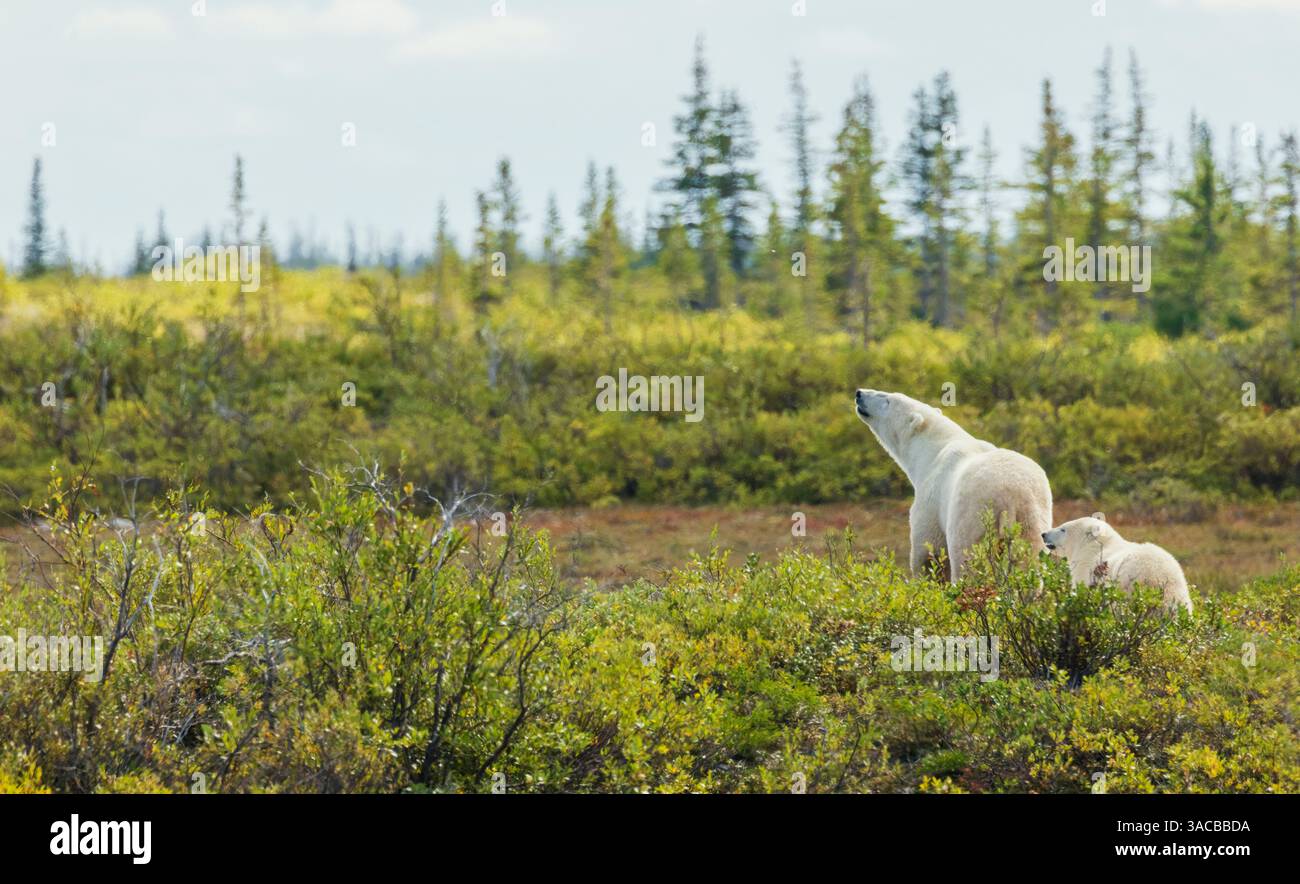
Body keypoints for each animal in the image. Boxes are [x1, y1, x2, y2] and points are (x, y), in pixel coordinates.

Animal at [854, 388, 1053, 581]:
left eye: (887, 400)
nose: (859, 393)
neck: (934, 450)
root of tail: (1010, 497)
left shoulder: (931, 499)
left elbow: (929, 554)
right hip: (1031, 515)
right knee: (1029, 559)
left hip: (973, 515)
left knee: (968, 561)